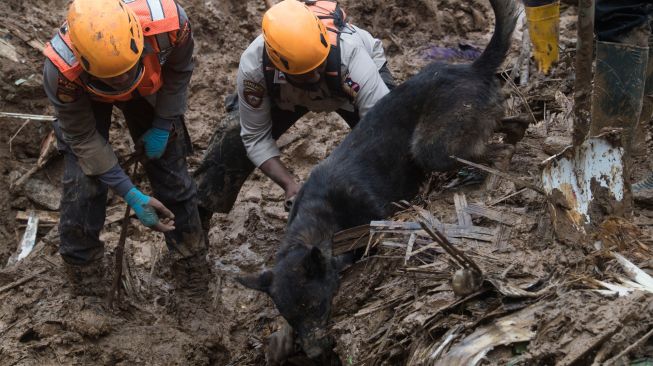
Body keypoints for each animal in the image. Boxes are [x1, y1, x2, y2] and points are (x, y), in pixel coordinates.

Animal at [237, 0, 516, 362]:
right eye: (292, 316)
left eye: (314, 306)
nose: (314, 354)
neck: (320, 218)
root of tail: (470, 68)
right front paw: (281, 340)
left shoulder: (376, 216)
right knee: (509, 127)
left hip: (432, 149)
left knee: (496, 151)